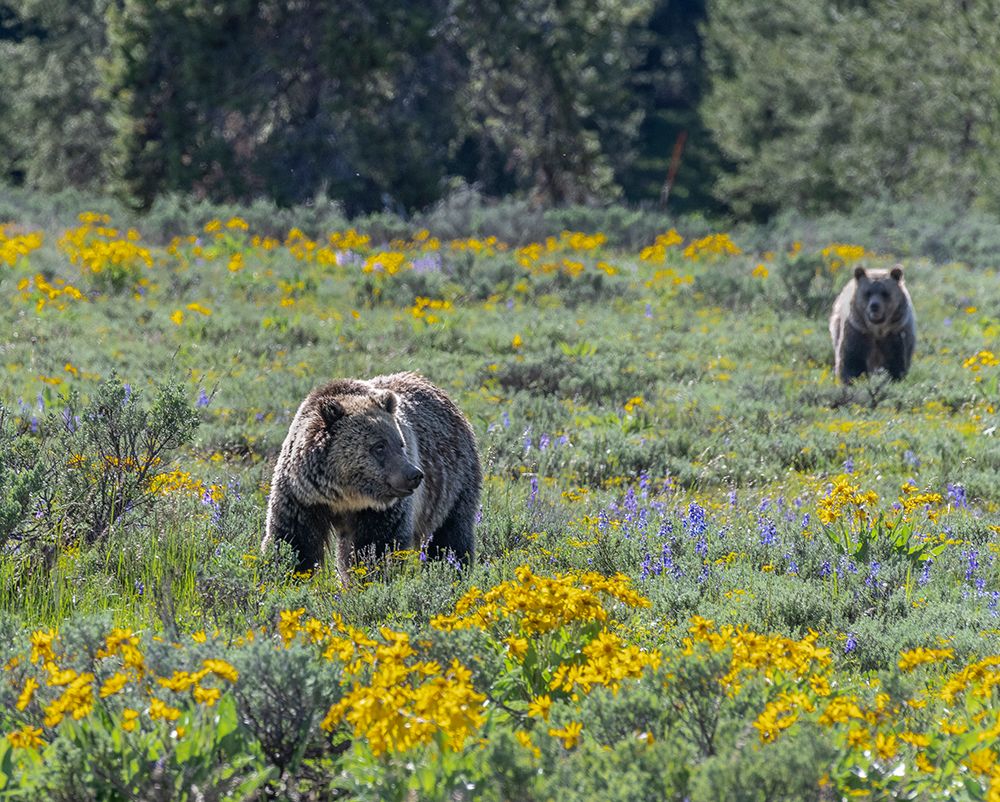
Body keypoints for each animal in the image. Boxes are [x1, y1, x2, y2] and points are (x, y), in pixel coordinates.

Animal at [261, 372, 482, 579]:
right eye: (379, 446)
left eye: (400, 443)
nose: (414, 475)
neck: (344, 495)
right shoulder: (302, 497)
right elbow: (293, 540)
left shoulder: (380, 510)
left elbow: (378, 546)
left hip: (453, 483)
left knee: (450, 534)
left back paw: (453, 568)